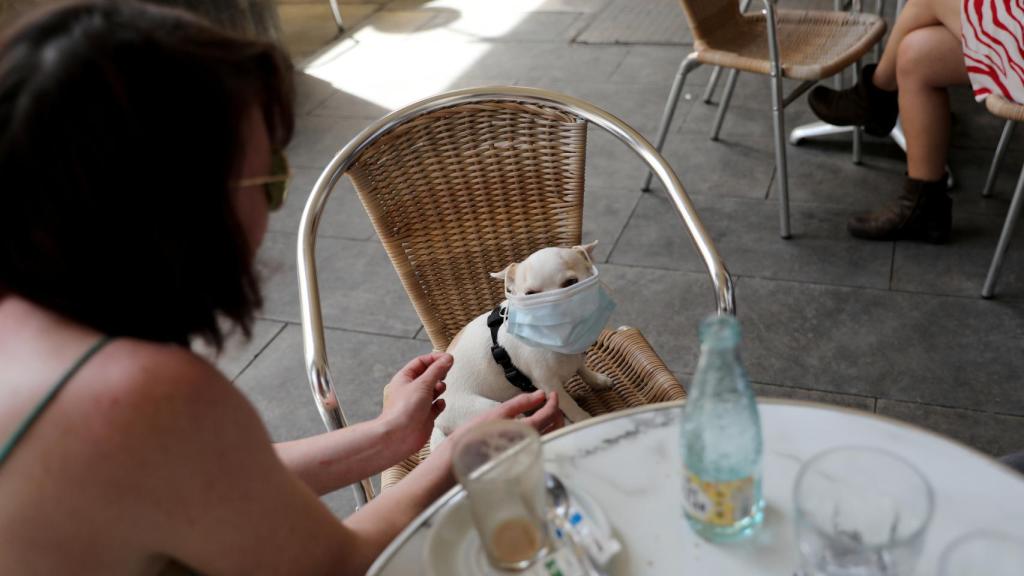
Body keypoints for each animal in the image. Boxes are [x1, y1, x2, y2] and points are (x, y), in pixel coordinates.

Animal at [432, 241, 614, 448]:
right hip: (490, 410)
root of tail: (438, 422)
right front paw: (585, 420)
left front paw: (597, 380)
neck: (561, 338)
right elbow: (570, 405)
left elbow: (582, 368)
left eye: (571, 282)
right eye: (530, 295)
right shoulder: (549, 384)